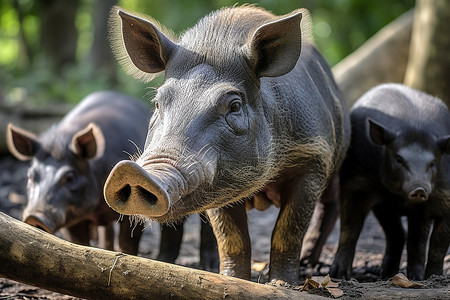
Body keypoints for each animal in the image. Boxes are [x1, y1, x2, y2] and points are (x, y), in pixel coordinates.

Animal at [103, 5, 350, 284]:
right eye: (158, 102)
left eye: (234, 105)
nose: (131, 172)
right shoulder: (218, 184)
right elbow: (231, 237)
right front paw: (233, 280)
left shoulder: (314, 156)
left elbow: (287, 231)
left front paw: (281, 283)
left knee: (332, 205)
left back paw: (315, 266)